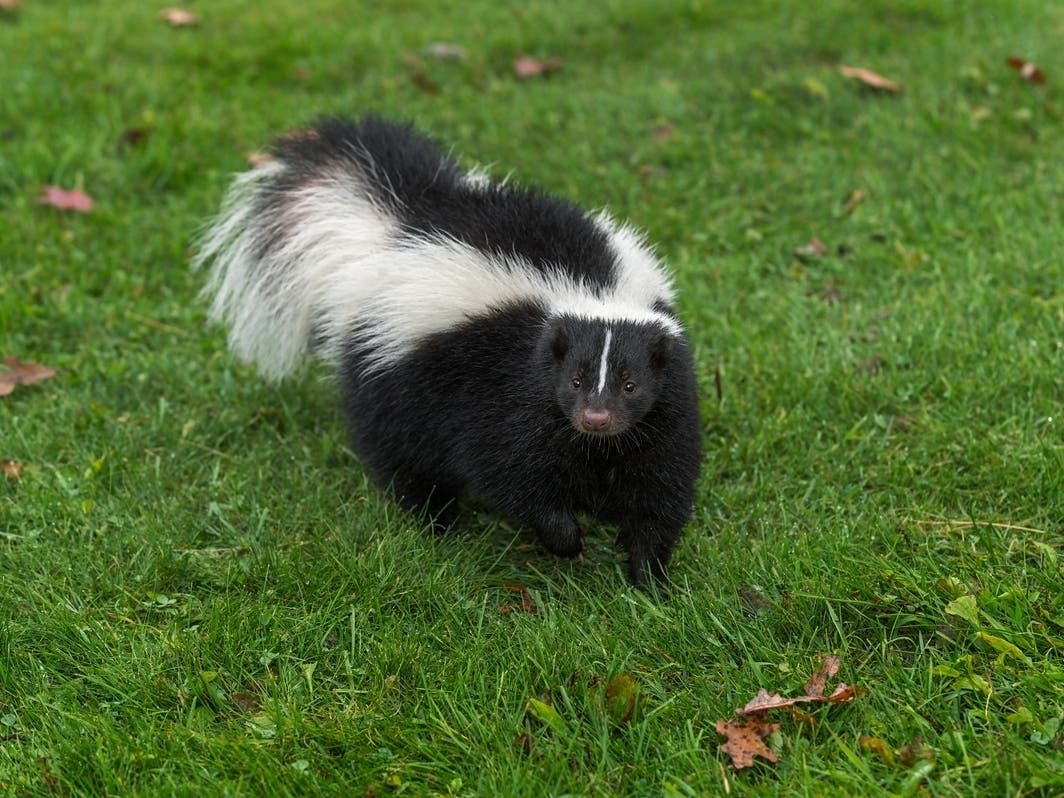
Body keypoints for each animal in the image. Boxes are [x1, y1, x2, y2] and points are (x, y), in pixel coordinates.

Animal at [195, 115, 702, 583]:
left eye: (631, 385)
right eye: (574, 380)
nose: (595, 417)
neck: (590, 293)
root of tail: (408, 221)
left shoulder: (665, 411)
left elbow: (660, 491)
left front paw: (648, 580)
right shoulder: (502, 394)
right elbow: (510, 472)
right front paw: (567, 540)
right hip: (392, 374)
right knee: (401, 455)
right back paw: (438, 522)